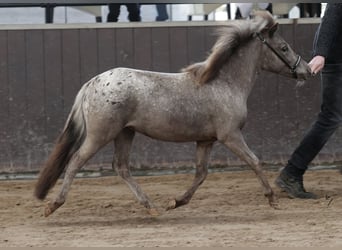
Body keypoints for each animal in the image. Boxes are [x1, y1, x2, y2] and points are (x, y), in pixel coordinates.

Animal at [35, 10, 312, 216]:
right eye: (284, 48)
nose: (307, 70)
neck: (225, 84)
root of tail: (92, 83)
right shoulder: (230, 136)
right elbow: (254, 161)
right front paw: (272, 200)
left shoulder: (206, 141)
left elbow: (201, 174)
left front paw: (176, 202)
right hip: (100, 135)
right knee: (75, 161)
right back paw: (53, 205)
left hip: (125, 133)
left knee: (121, 167)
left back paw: (152, 207)